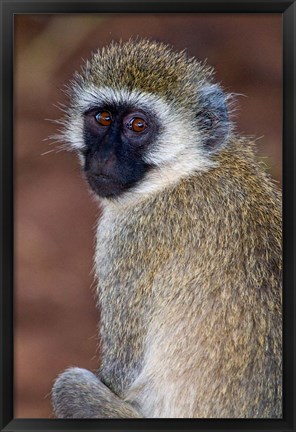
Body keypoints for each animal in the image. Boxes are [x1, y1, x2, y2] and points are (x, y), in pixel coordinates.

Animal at [51, 40, 282, 418]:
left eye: (138, 125)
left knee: (68, 385)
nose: (104, 157)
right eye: (102, 118)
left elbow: (121, 374)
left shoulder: (129, 238)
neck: (185, 170)